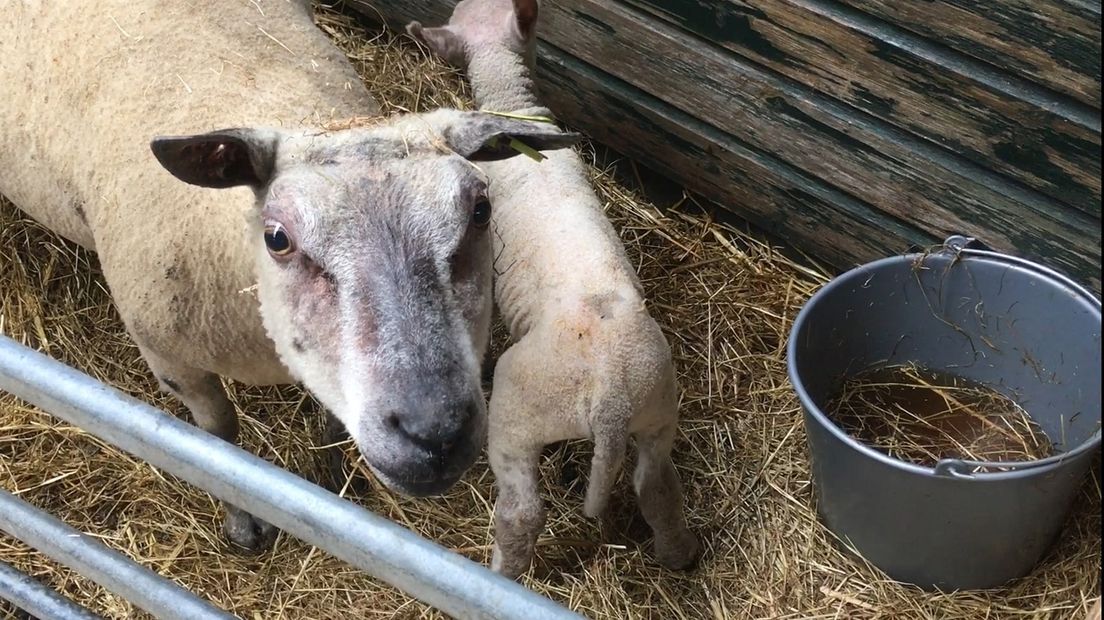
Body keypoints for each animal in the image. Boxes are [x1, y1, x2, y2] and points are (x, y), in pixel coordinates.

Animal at [2, 0, 578, 549]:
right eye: (277, 238)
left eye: (481, 210)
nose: (435, 432)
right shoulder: (170, 358)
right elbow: (216, 439)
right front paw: (243, 524)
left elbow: (331, 422)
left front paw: (331, 477)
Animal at [406, 0, 697, 573]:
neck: (513, 108)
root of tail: (610, 400)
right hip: (658, 407)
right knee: (657, 487)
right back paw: (679, 555)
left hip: (520, 418)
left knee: (522, 512)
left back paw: (501, 572)